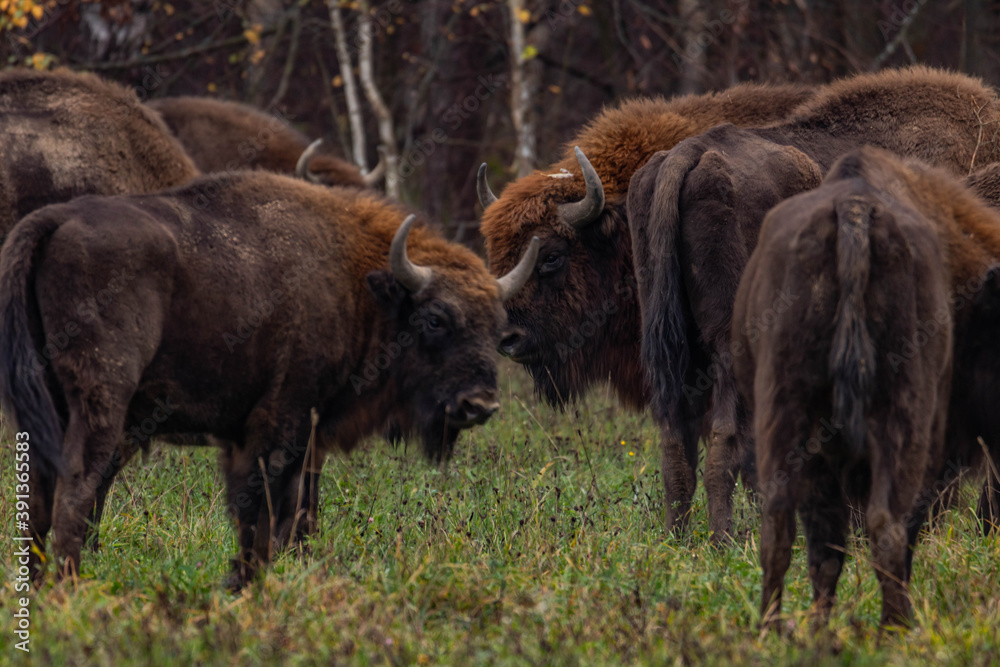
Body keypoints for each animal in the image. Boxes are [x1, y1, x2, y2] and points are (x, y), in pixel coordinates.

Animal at [0, 173, 538, 587]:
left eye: (495, 327)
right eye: (434, 319)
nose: (480, 405)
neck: (356, 283)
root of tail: (54, 220)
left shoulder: (304, 438)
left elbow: (299, 514)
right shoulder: (276, 427)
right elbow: (260, 516)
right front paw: (247, 583)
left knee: (43, 489)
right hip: (102, 401)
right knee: (78, 482)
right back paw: (69, 585)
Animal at [628, 65, 1000, 539]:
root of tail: (687, 154)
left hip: (671, 338)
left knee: (677, 441)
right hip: (731, 343)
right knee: (723, 442)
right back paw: (724, 540)